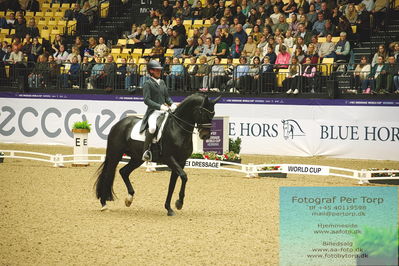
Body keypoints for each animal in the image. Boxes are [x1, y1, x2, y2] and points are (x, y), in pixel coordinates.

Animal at [95, 93, 223, 216]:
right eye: (202, 112)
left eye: (213, 114)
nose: (205, 135)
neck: (177, 129)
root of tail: (118, 124)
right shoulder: (170, 158)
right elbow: (184, 176)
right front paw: (179, 203)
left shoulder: (181, 161)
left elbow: (173, 184)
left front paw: (169, 208)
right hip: (115, 155)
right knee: (108, 175)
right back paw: (104, 204)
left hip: (137, 158)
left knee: (124, 172)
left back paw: (129, 199)